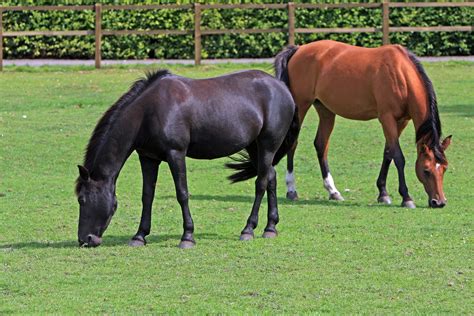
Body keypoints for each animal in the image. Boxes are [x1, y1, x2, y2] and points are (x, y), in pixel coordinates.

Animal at [75, 69, 298, 249]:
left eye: (82, 199)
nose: (85, 239)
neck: (149, 111)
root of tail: (282, 87)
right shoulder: (148, 158)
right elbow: (147, 195)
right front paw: (139, 236)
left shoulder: (176, 154)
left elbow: (182, 194)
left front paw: (187, 237)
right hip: (254, 147)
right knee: (270, 177)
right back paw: (270, 228)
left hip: (267, 145)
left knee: (261, 183)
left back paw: (248, 229)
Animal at [274, 40, 452, 207]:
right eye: (426, 170)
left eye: (444, 168)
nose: (439, 202)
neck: (401, 75)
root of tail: (298, 49)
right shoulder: (387, 118)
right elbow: (398, 157)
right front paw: (406, 197)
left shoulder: (401, 122)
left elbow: (388, 153)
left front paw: (383, 193)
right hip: (301, 105)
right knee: (294, 143)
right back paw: (292, 190)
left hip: (325, 110)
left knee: (321, 145)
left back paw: (333, 191)